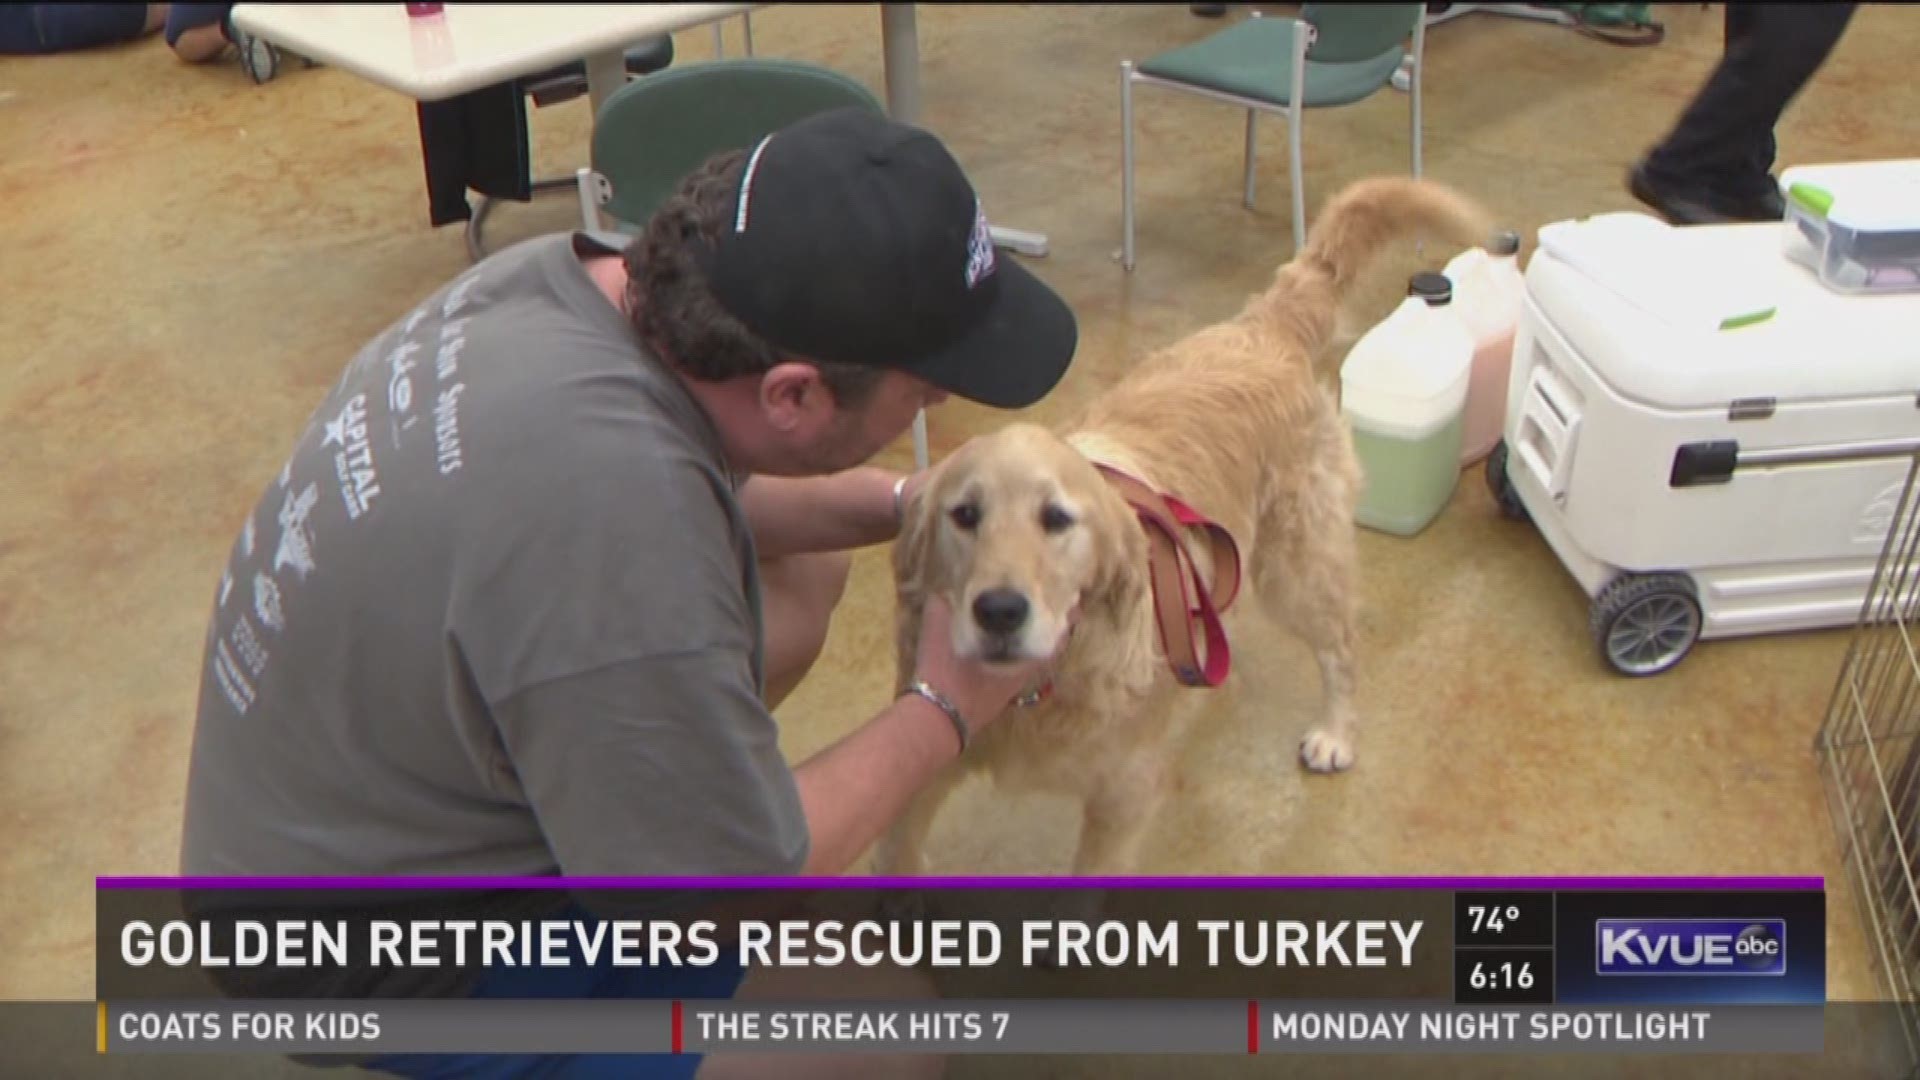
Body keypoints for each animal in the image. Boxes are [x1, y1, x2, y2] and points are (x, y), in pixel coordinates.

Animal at [879, 176, 1489, 876]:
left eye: (1057, 518)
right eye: (965, 515)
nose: (1000, 612)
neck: (1048, 686)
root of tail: (1262, 327)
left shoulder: (1123, 799)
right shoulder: (919, 774)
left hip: (1297, 572)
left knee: (1340, 647)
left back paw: (1336, 732)